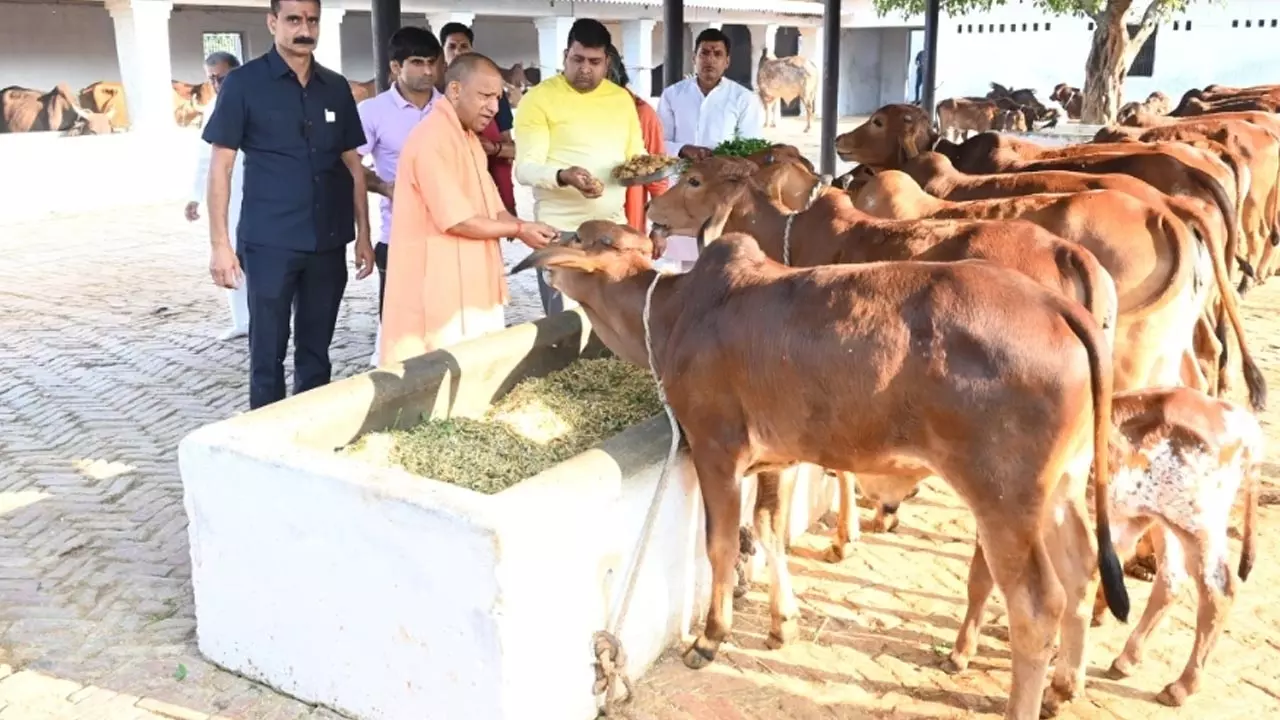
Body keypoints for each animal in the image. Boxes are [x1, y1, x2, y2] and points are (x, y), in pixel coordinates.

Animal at [509, 219, 1131, 717]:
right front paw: (782, 623)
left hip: (1004, 498)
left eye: (580, 238)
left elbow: (720, 545)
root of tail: (1058, 306)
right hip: (1064, 486)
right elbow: (768, 530)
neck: (673, 313)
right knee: (1082, 571)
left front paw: (711, 638)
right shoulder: (778, 456)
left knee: (1037, 607)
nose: (541, 246)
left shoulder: (715, 448)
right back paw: (1064, 686)